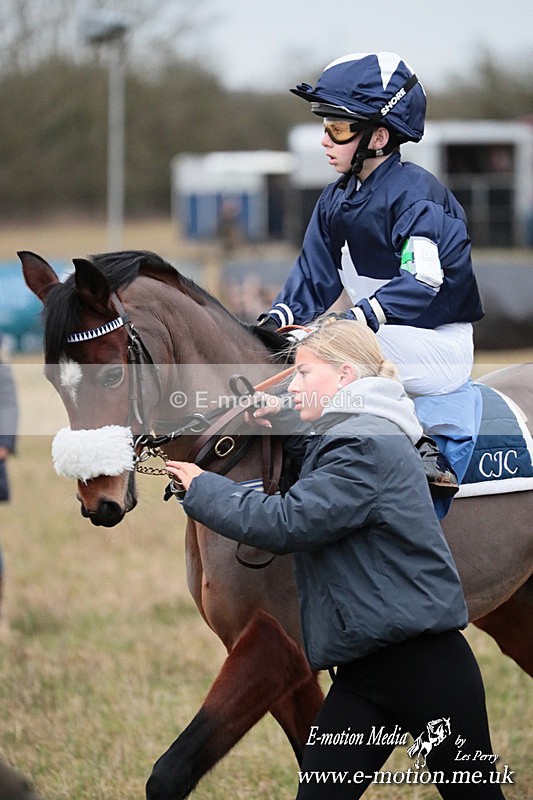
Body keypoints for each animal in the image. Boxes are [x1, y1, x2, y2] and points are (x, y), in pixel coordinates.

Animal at [20, 249, 533, 800]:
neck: (241, 447)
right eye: (53, 380)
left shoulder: (275, 646)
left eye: (112, 375)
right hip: (513, 606)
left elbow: (171, 771)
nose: (100, 499)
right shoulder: (282, 663)